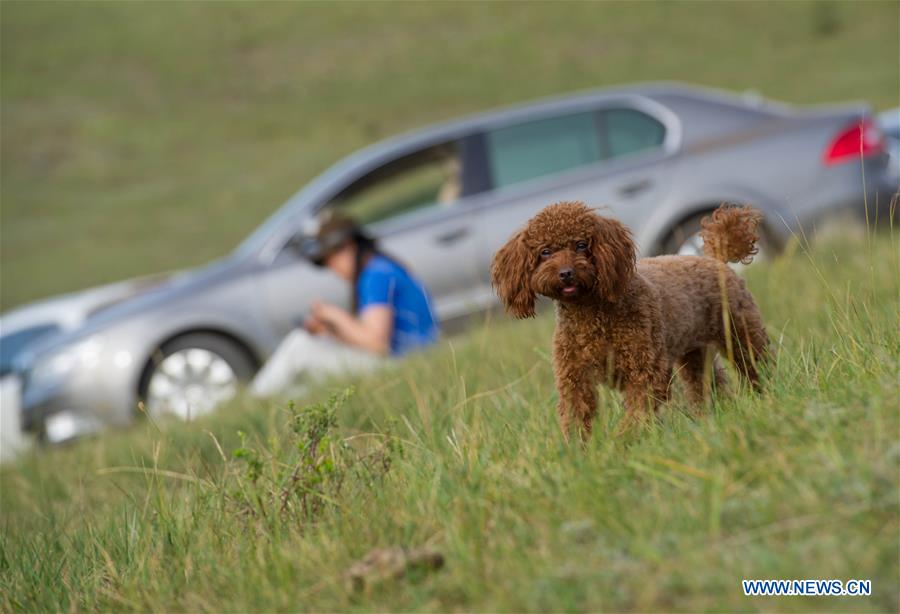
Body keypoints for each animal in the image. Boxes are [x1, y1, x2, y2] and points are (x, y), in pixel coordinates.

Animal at [492, 203, 768, 442]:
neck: (591, 314)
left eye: (581, 245)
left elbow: (636, 414)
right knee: (708, 386)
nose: (566, 273)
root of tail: (713, 258)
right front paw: (579, 452)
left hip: (740, 333)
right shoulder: (575, 377)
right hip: (695, 354)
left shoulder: (645, 371)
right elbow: (576, 415)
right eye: (545, 252)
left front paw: (622, 443)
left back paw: (764, 397)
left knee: (755, 366)